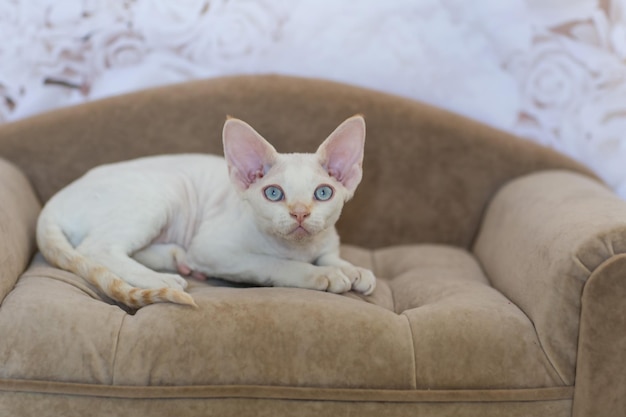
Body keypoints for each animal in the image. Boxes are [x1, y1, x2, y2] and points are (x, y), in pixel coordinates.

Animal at [36, 115, 376, 308]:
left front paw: (353, 270)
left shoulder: (326, 241)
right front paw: (323, 275)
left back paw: (176, 258)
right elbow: (273, 265)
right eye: (274, 193)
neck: (300, 248)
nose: (300, 214)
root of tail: (51, 203)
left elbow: (331, 255)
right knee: (95, 247)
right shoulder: (214, 248)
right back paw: (163, 279)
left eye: (323, 193)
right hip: (164, 192)